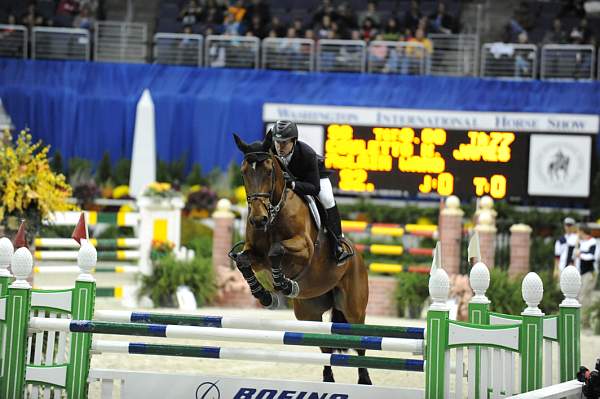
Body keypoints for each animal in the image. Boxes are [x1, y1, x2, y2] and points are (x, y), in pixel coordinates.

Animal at [230, 135, 370, 388]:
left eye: (269, 171)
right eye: (244, 171)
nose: (258, 219)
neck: (274, 213)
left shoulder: (304, 249)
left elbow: (276, 251)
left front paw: (283, 284)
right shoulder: (254, 254)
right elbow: (242, 261)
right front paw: (264, 295)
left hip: (353, 308)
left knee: (359, 342)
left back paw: (364, 380)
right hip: (308, 313)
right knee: (324, 346)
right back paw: (327, 379)